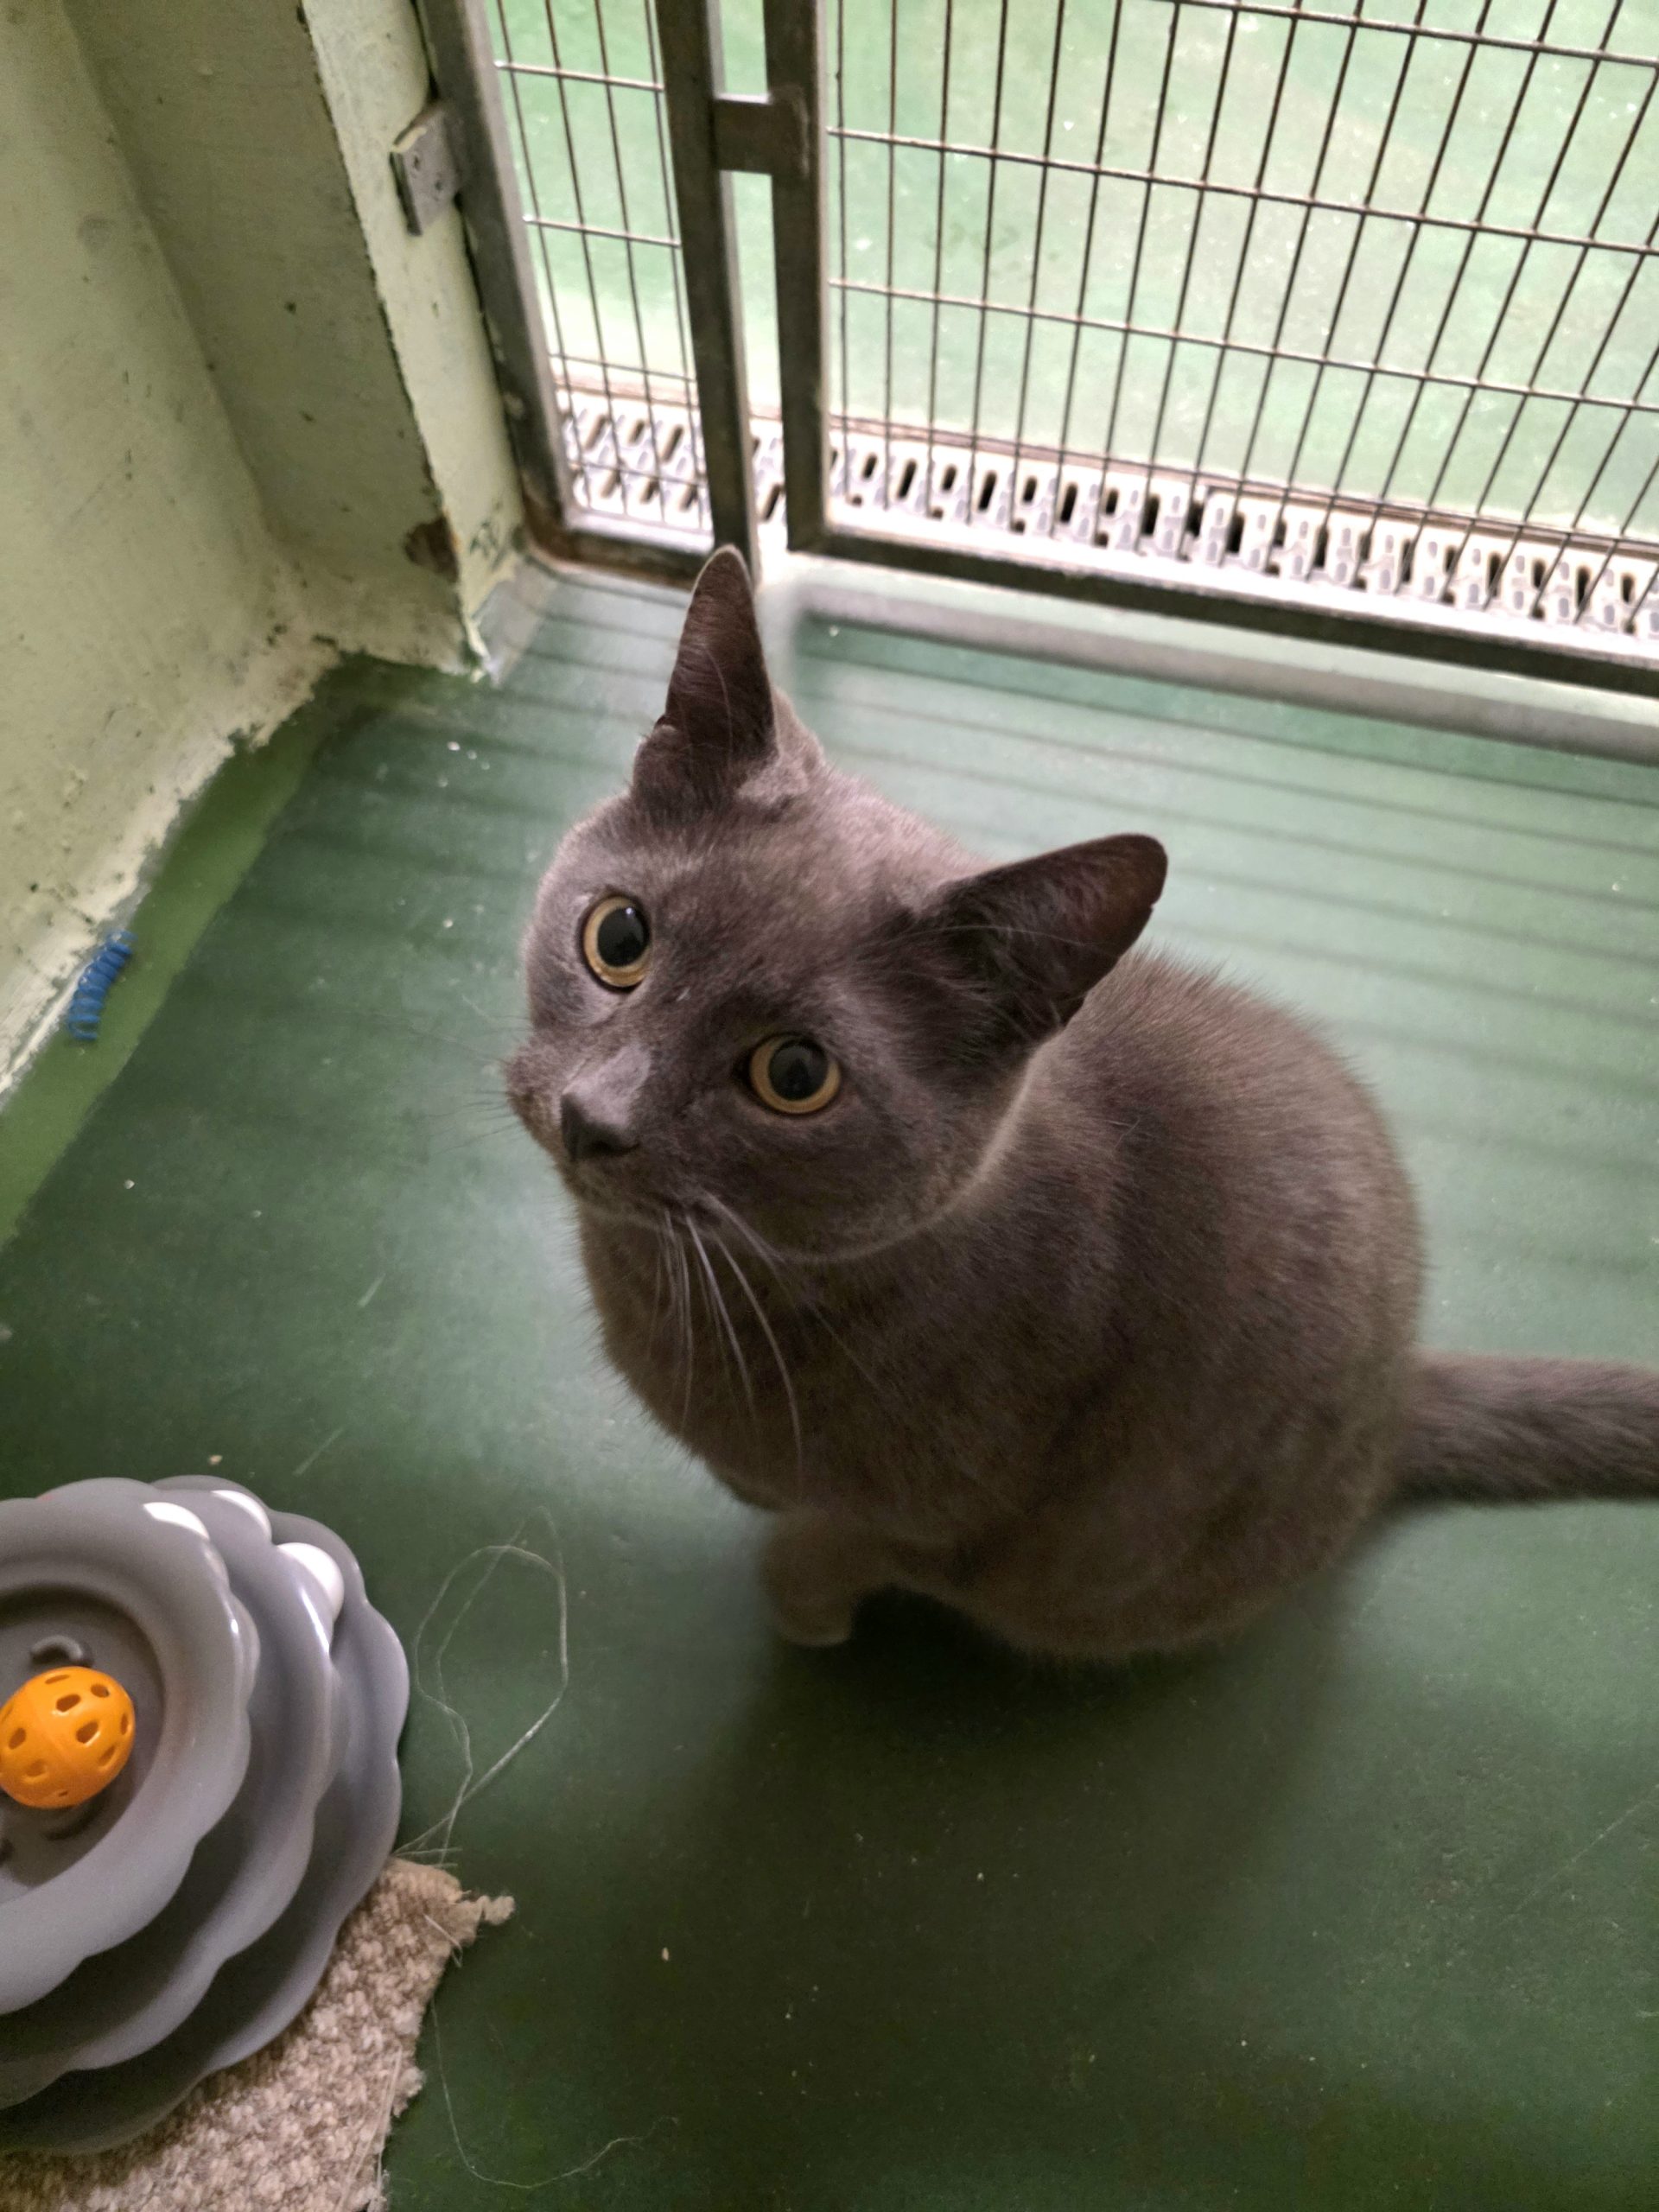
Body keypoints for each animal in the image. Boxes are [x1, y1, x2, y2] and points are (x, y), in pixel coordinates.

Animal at [507, 548, 1659, 1662]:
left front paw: (805, 1601)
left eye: (795, 1076)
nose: (594, 1115)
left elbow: (840, 1548)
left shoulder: (957, 1525)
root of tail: (1401, 1400)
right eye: (619, 937)